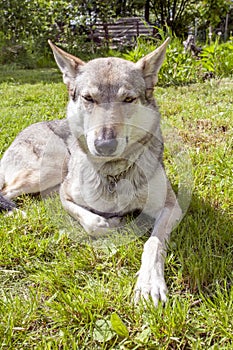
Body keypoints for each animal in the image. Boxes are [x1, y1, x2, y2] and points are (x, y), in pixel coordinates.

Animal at [0, 39, 182, 306]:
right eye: (89, 98)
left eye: (128, 99)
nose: (104, 145)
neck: (114, 173)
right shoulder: (66, 196)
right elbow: (95, 222)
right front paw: (113, 222)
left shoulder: (171, 206)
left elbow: (153, 243)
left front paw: (150, 283)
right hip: (51, 168)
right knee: (6, 192)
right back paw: (18, 213)